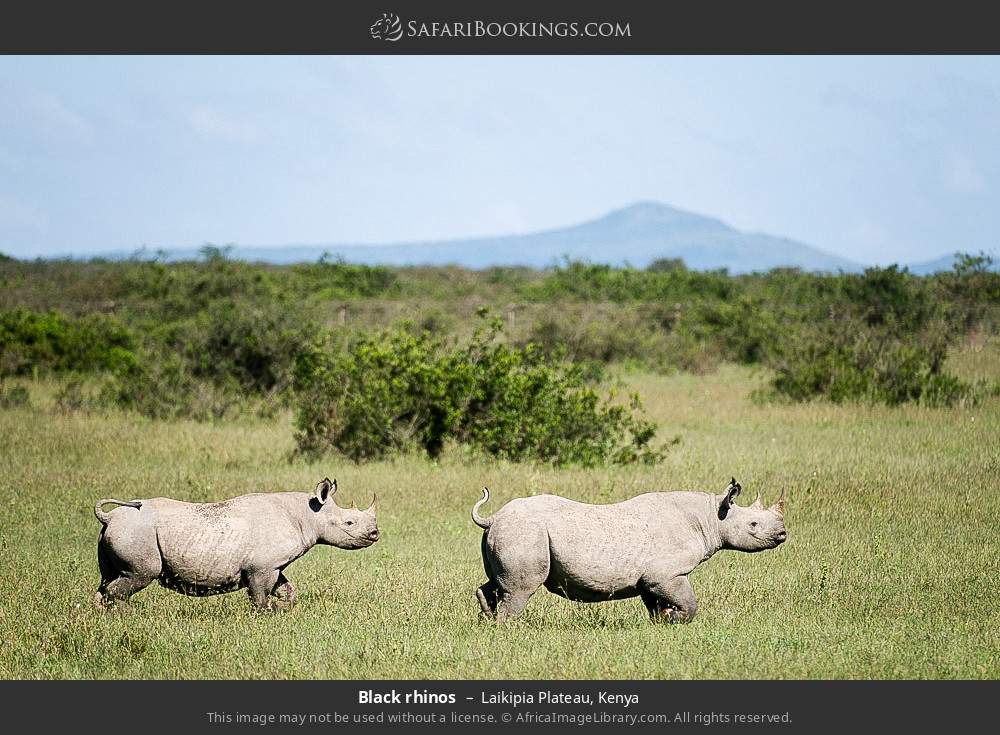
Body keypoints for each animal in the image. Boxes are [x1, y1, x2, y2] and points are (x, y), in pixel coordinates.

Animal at [94, 478, 379, 611]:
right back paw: (126, 615)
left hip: (120, 532)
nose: (376, 534)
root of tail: (109, 517)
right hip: (136, 533)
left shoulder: (272, 564)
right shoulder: (261, 567)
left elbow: (288, 591)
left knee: (107, 579)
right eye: (349, 523)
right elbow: (260, 596)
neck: (309, 514)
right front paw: (267, 613)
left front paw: (281, 608)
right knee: (140, 575)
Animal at [471, 478, 786, 622]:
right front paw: (675, 618)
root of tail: (493, 517)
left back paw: (487, 619)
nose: (783, 534)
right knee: (520, 589)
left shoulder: (652, 578)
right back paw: (509, 628)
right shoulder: (667, 574)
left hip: (511, 531)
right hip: (525, 532)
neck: (712, 517)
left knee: (497, 582)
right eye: (754, 525)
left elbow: (655, 604)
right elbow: (690, 603)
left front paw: (663, 620)